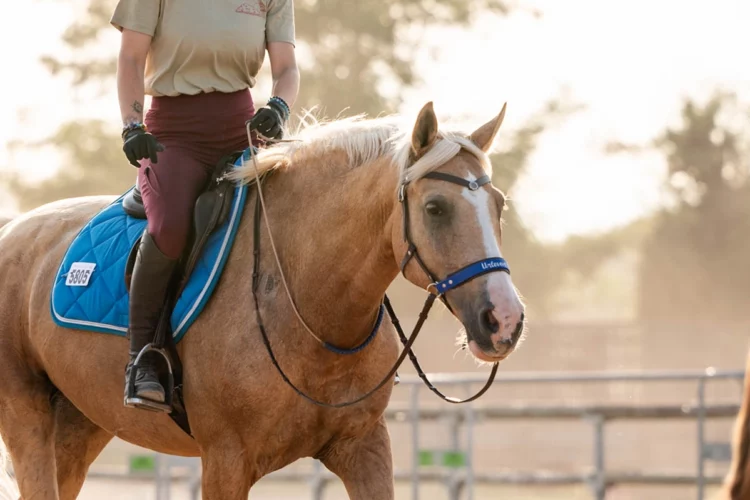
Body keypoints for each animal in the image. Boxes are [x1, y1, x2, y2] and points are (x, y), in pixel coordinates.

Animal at [0, 99, 524, 498]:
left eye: (497, 205)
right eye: (435, 208)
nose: (504, 319)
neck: (310, 308)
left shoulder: (364, 448)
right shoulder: (226, 462)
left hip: (79, 425)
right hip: (27, 420)